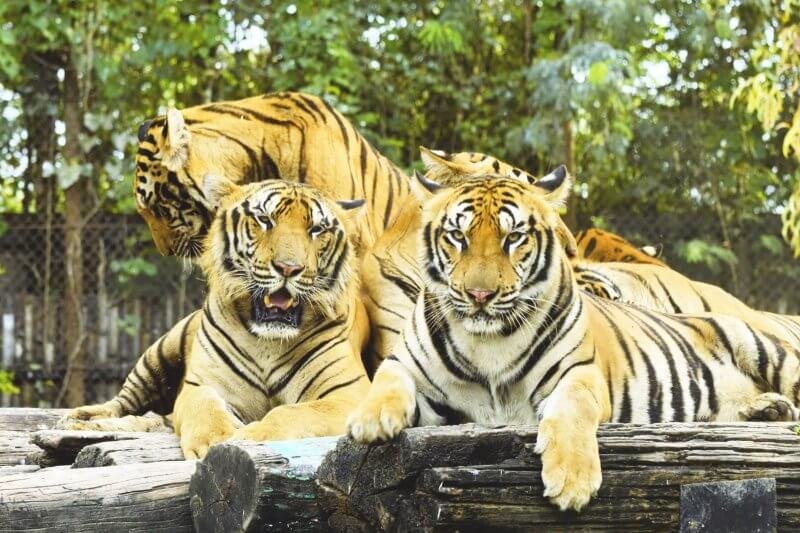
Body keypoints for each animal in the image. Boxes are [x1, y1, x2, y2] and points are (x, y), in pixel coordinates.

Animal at [71, 178, 370, 458]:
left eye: (316, 229)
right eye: (264, 220)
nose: (288, 268)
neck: (269, 342)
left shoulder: (349, 395)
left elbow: (292, 412)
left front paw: (252, 436)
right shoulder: (200, 384)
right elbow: (205, 407)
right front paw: (215, 441)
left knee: (153, 418)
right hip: (160, 352)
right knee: (124, 402)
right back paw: (83, 419)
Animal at [346, 172, 800, 512]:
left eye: (514, 238)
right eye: (457, 236)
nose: (479, 295)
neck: (487, 341)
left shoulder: (578, 375)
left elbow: (572, 411)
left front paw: (571, 480)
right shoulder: (410, 368)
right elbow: (386, 380)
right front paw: (369, 421)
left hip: (761, 347)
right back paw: (766, 409)